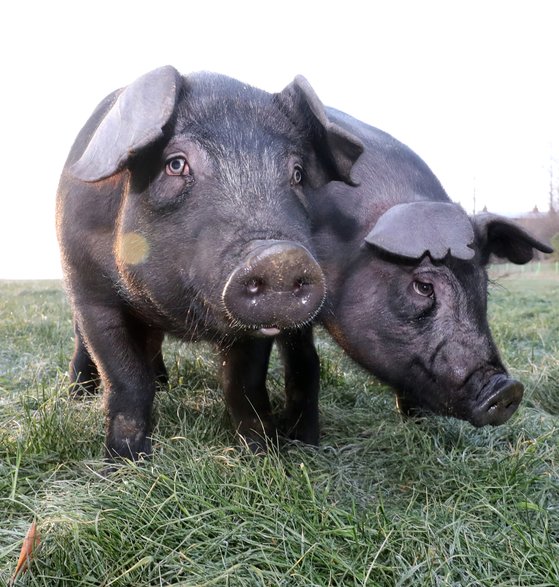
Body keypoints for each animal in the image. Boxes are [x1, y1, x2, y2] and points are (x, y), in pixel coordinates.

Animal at [55, 65, 364, 460]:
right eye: (175, 164)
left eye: (296, 173)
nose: (280, 258)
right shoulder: (90, 290)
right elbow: (126, 380)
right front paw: (123, 463)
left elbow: (243, 383)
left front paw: (262, 453)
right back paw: (79, 394)